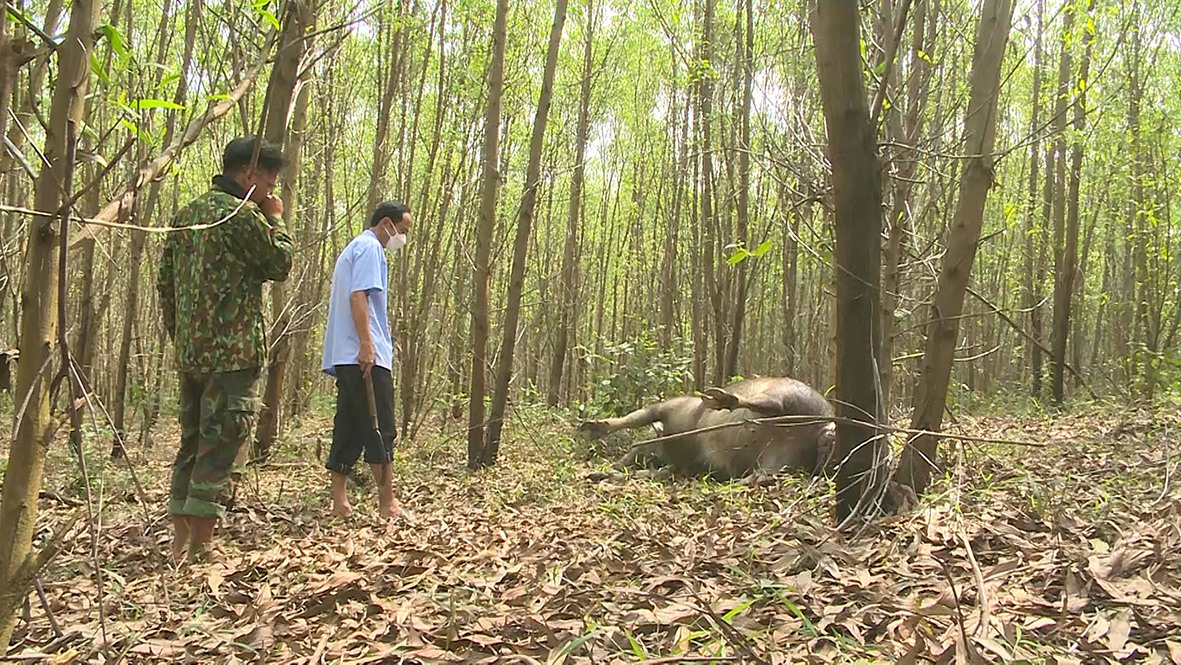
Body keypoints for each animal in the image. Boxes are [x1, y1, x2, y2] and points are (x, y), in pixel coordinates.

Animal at [576, 375, 836, 484]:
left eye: (637, 447)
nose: (617, 463)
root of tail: (825, 424)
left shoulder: (667, 408)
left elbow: (634, 418)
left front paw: (591, 429)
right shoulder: (680, 466)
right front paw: (598, 474)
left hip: (784, 396)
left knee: (771, 404)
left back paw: (718, 398)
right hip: (782, 458)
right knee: (764, 475)